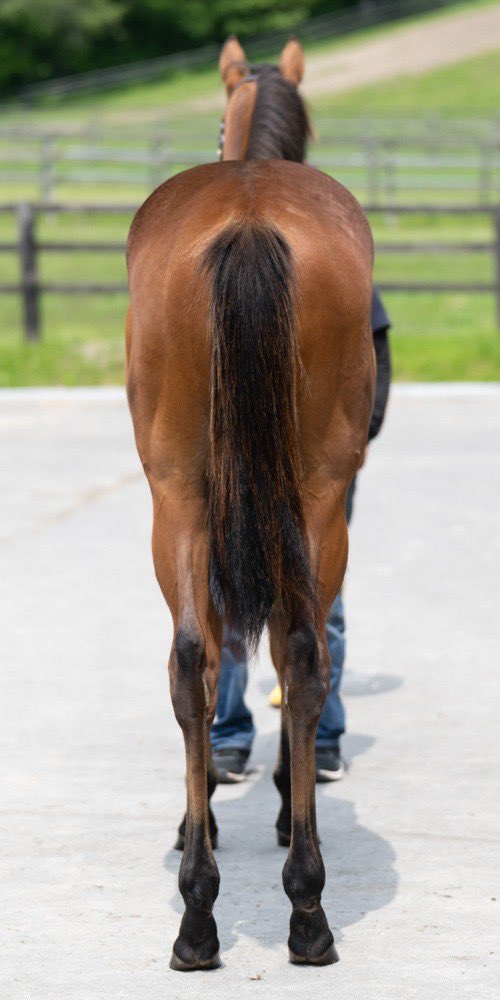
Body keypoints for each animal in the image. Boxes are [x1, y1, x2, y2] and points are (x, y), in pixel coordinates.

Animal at [126, 36, 375, 971]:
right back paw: (285, 907)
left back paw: (221, 911)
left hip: (187, 498)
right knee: (281, 652)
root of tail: (249, 220)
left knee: (215, 657)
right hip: (302, 498)